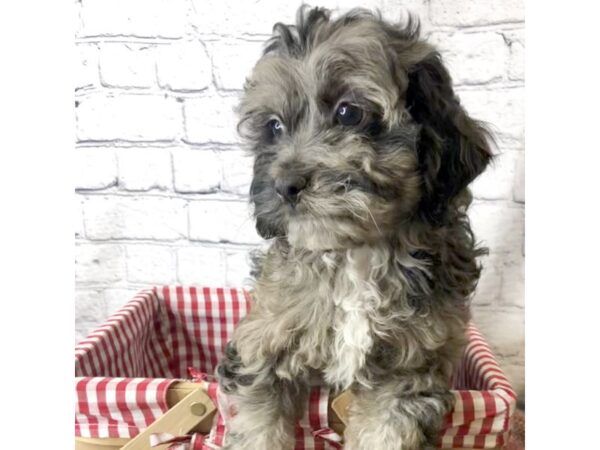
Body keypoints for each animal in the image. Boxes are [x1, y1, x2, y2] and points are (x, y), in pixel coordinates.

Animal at [218, 7, 490, 450]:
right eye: (274, 126)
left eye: (348, 113)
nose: (284, 185)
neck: (355, 254)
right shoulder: (260, 347)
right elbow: (258, 425)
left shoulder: (408, 369)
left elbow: (387, 431)